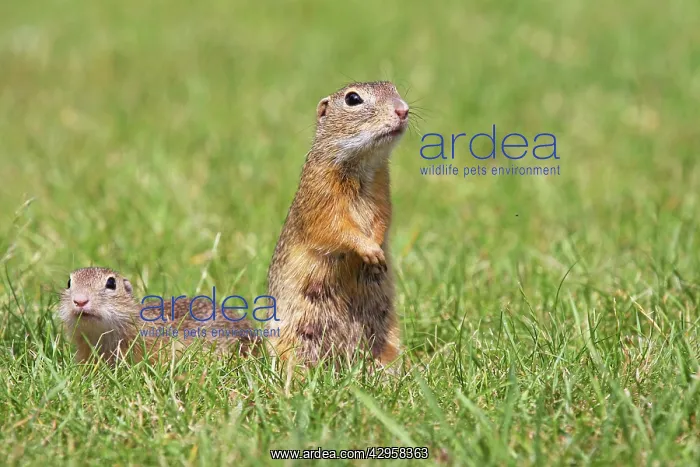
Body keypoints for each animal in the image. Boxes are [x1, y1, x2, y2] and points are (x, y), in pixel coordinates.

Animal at [267, 81, 409, 367]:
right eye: (353, 99)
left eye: (394, 88)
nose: (403, 110)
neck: (362, 166)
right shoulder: (321, 193)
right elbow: (334, 227)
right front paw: (370, 251)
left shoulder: (382, 190)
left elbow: (382, 218)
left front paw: (377, 248)